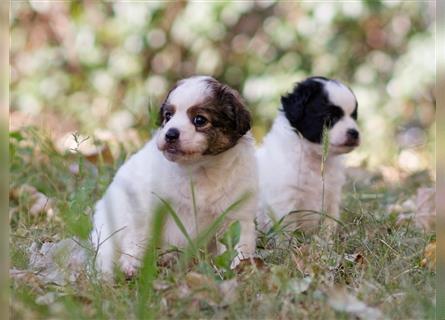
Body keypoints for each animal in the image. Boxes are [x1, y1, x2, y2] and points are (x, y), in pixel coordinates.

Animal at [90, 75, 256, 278]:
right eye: (168, 116)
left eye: (199, 120)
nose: (170, 134)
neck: (201, 168)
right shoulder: (146, 206)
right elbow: (139, 235)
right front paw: (133, 263)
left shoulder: (237, 212)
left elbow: (239, 243)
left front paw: (239, 268)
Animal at [255, 76, 360, 234]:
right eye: (330, 117)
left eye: (354, 116)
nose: (354, 132)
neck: (313, 156)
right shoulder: (284, 200)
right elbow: (287, 229)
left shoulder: (331, 196)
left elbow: (329, 223)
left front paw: (327, 240)